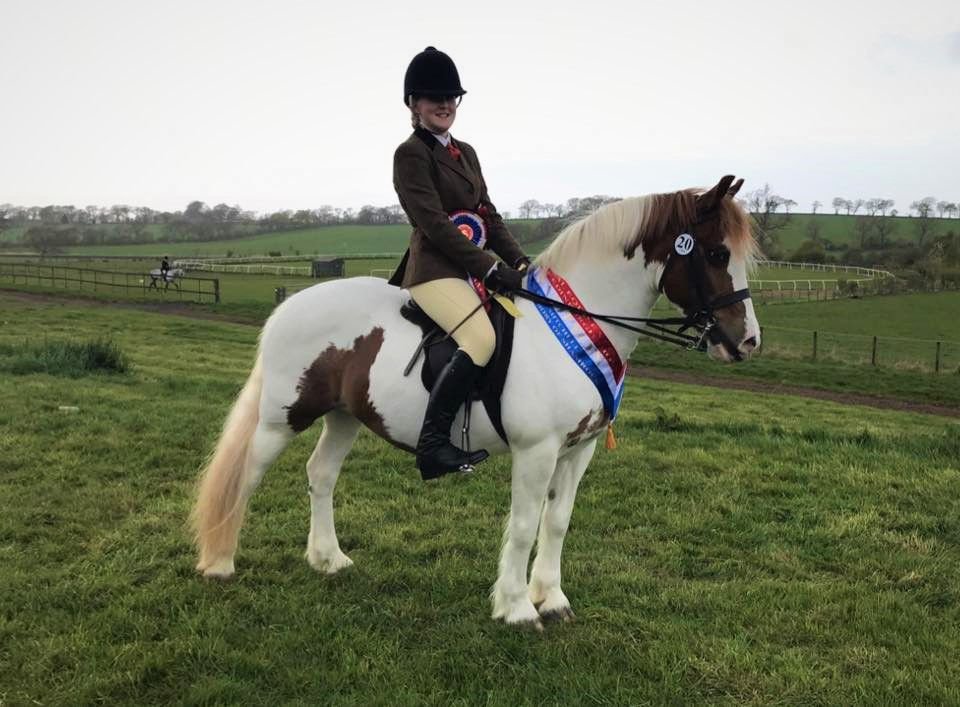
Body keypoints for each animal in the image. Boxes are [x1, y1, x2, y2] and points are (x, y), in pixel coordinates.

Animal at [190, 175, 760, 630]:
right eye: (716, 253)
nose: (747, 341)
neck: (572, 324)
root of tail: (289, 307)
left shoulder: (579, 450)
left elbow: (557, 522)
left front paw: (552, 600)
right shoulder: (537, 450)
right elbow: (524, 524)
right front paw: (517, 608)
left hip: (345, 416)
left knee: (321, 474)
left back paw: (329, 559)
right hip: (283, 417)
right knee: (246, 475)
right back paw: (219, 563)